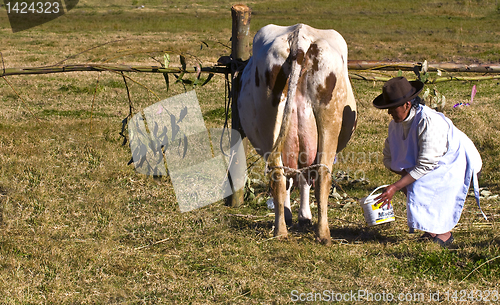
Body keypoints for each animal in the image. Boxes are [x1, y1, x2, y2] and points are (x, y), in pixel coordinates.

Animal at [237, 22, 356, 243]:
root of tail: (299, 39)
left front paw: (293, 214)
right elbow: (303, 179)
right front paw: (304, 216)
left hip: (272, 122)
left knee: (279, 174)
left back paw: (281, 231)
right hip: (330, 122)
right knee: (321, 174)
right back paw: (323, 233)